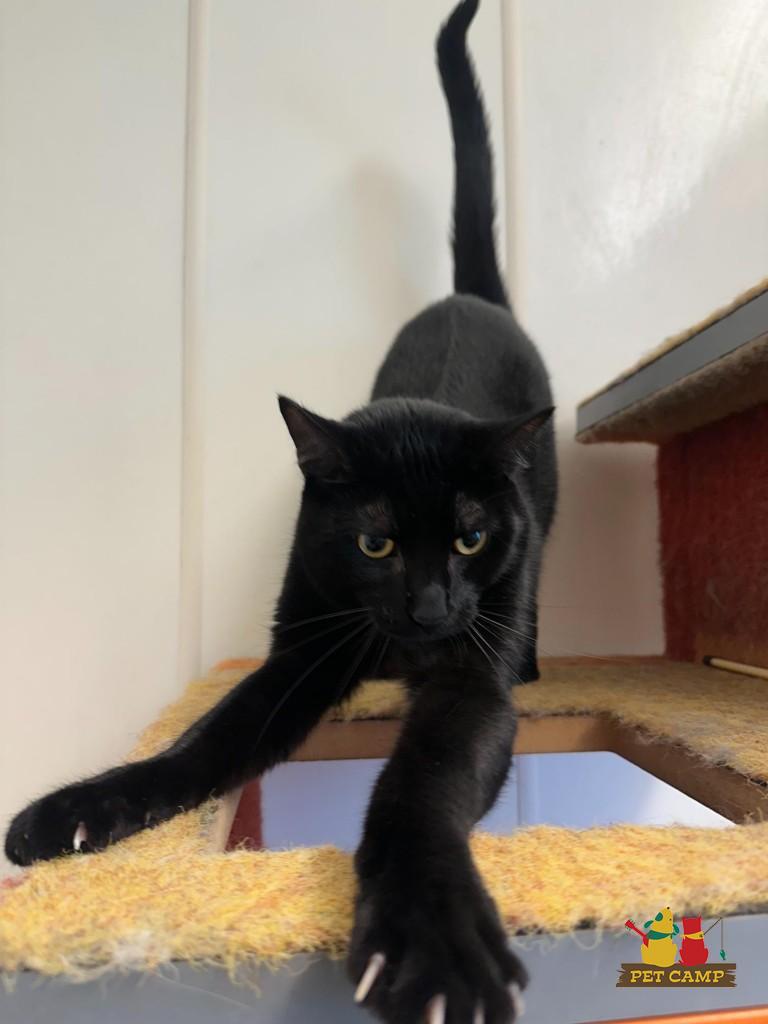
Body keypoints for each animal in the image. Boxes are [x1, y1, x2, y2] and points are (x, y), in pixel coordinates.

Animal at [5, 1, 556, 1021]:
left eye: (469, 536)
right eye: (376, 542)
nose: (430, 607)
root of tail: (467, 296)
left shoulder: (469, 681)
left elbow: (424, 778)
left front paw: (432, 941)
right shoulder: (300, 651)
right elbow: (207, 739)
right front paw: (75, 812)